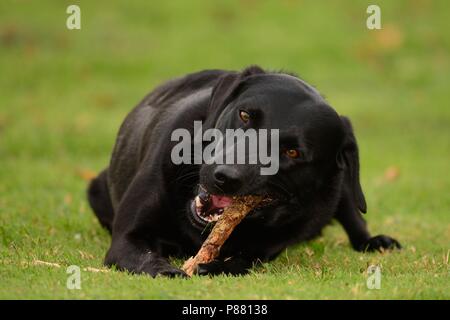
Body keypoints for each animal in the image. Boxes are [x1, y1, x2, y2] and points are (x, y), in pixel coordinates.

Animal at [87, 65, 400, 278]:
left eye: (292, 152)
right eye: (245, 115)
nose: (225, 177)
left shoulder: (262, 251)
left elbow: (240, 262)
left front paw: (210, 267)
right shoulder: (127, 238)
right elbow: (146, 258)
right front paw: (170, 271)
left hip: (341, 186)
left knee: (353, 215)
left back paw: (375, 241)